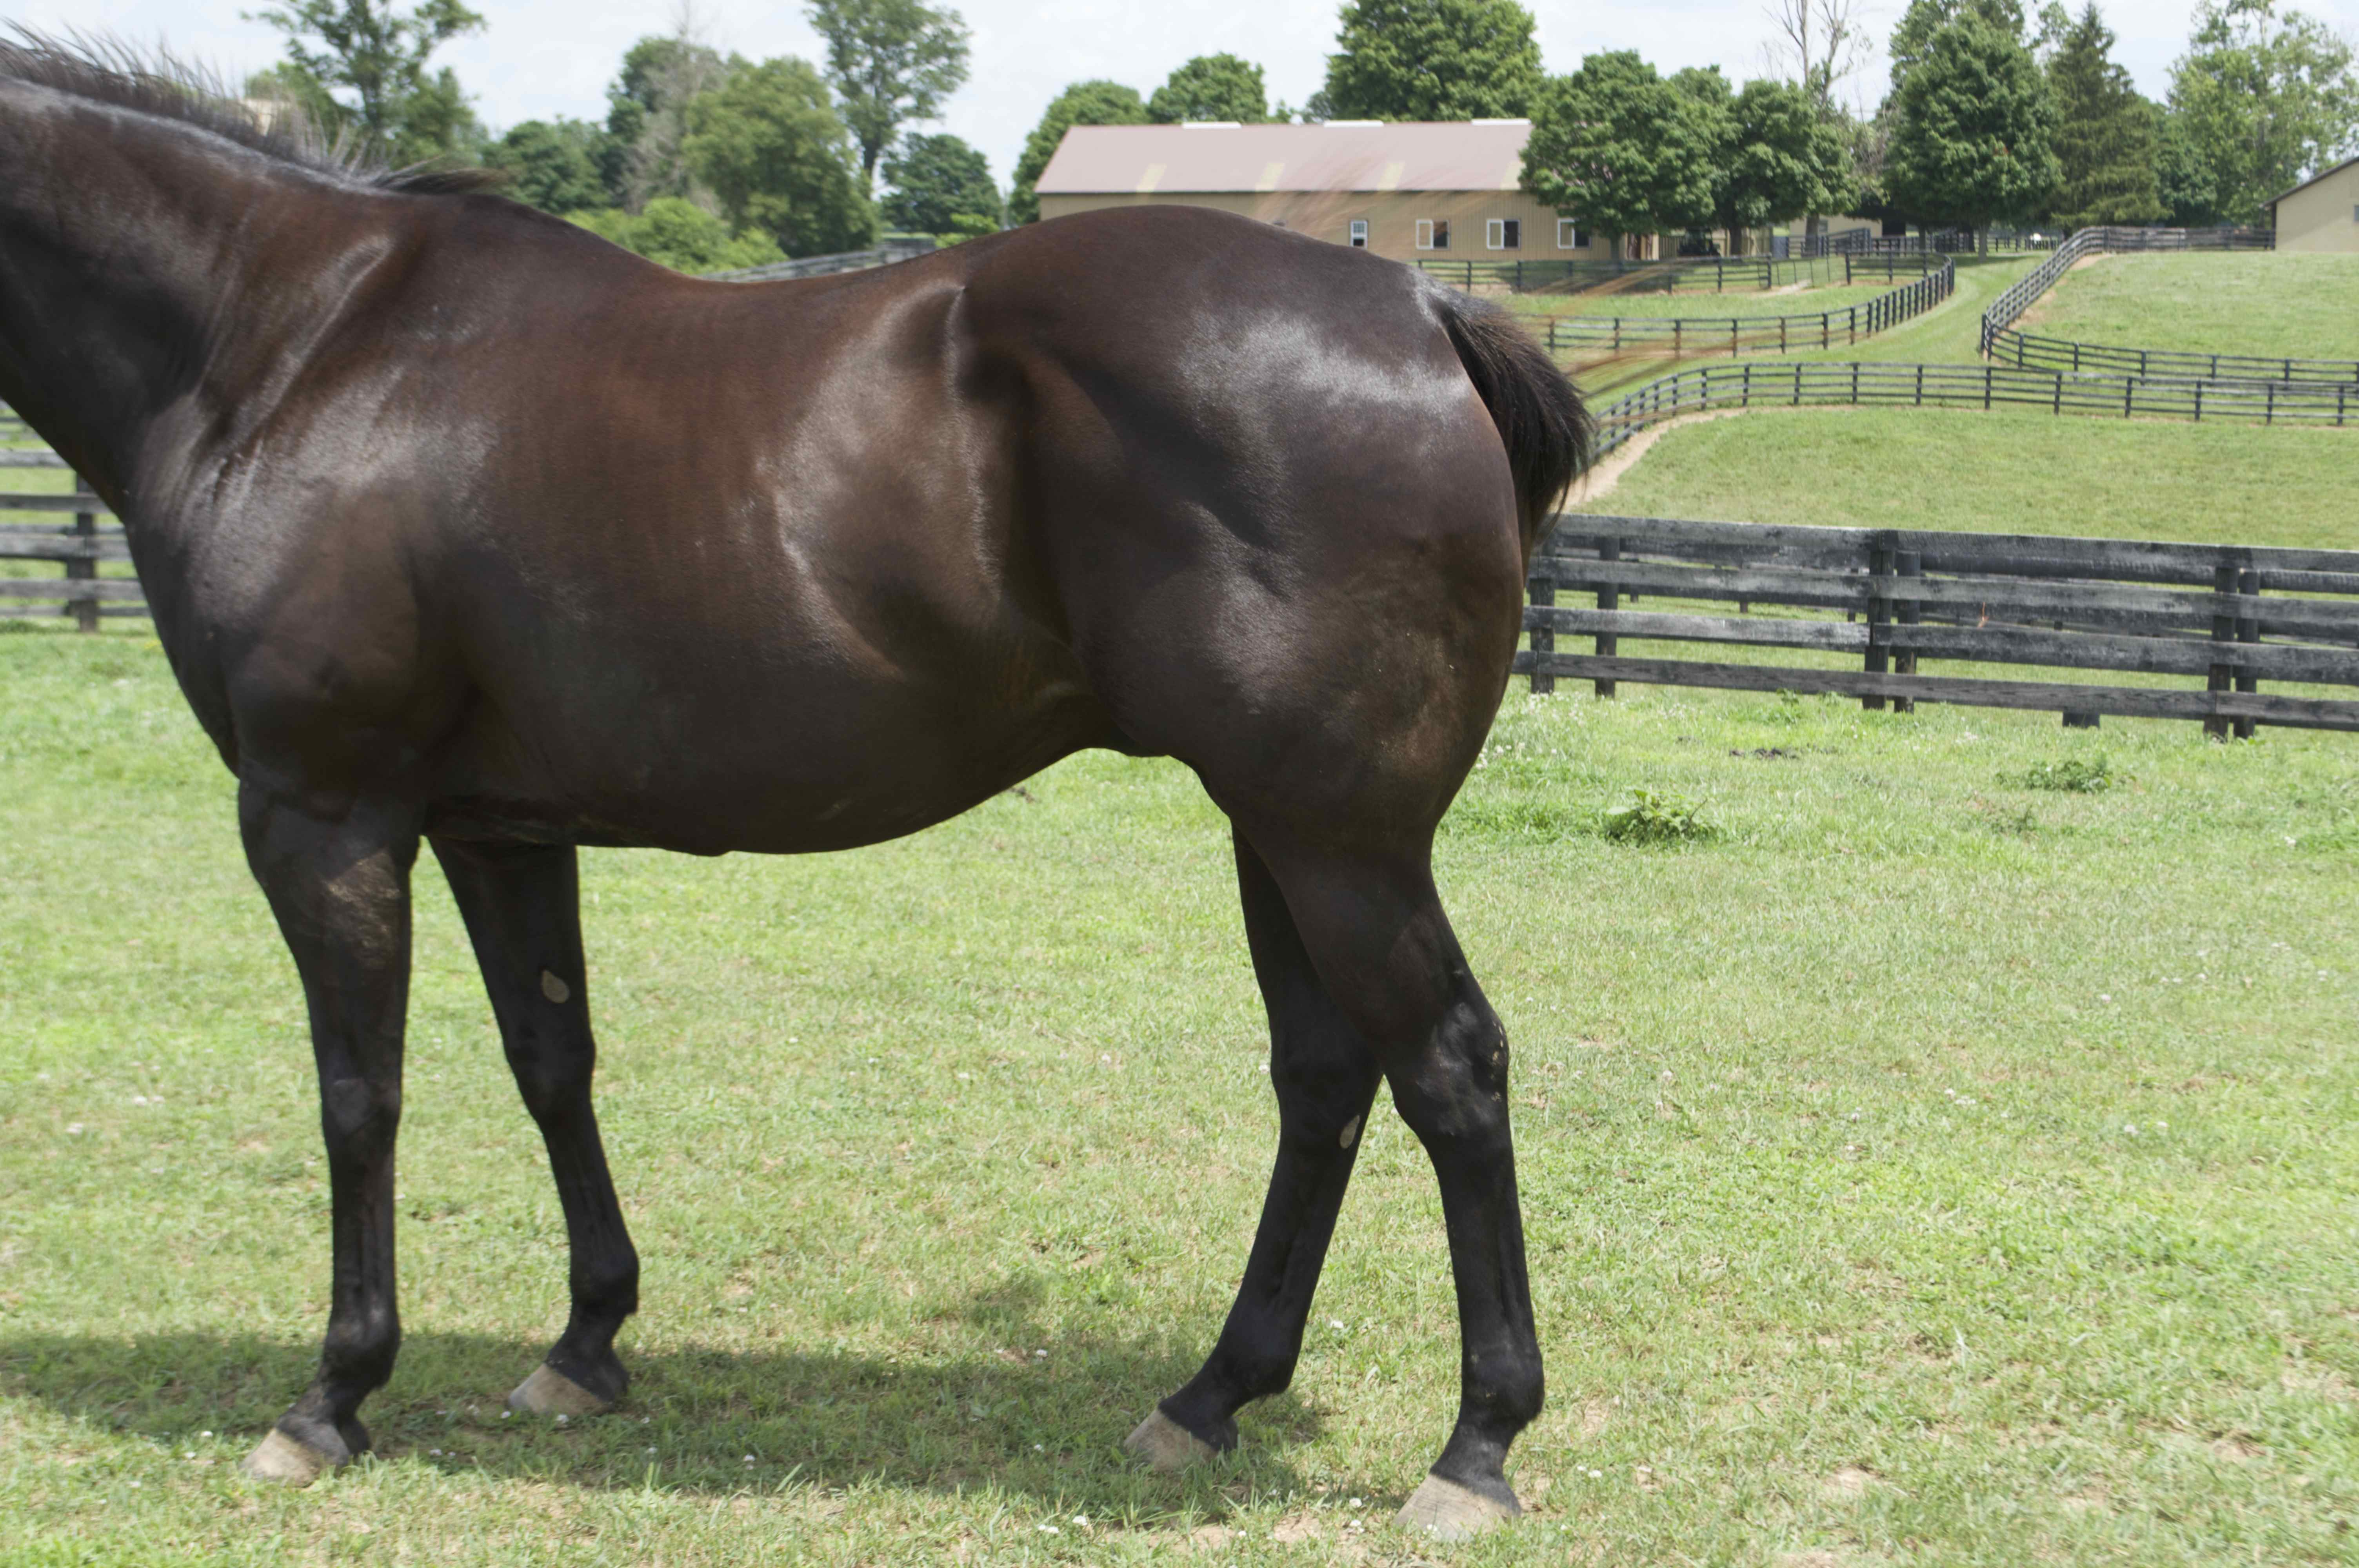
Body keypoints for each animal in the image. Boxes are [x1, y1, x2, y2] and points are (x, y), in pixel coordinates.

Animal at [0, 40, 1587, 1539]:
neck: (296, 343)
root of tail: (1417, 311)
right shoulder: (496, 829)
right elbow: (550, 1058)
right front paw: (585, 1343)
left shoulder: (321, 813)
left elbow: (357, 1094)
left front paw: (332, 1392)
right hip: (1278, 828)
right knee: (1324, 1076)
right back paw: (1209, 1396)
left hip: (1341, 840)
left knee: (1450, 1068)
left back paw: (1474, 1445)